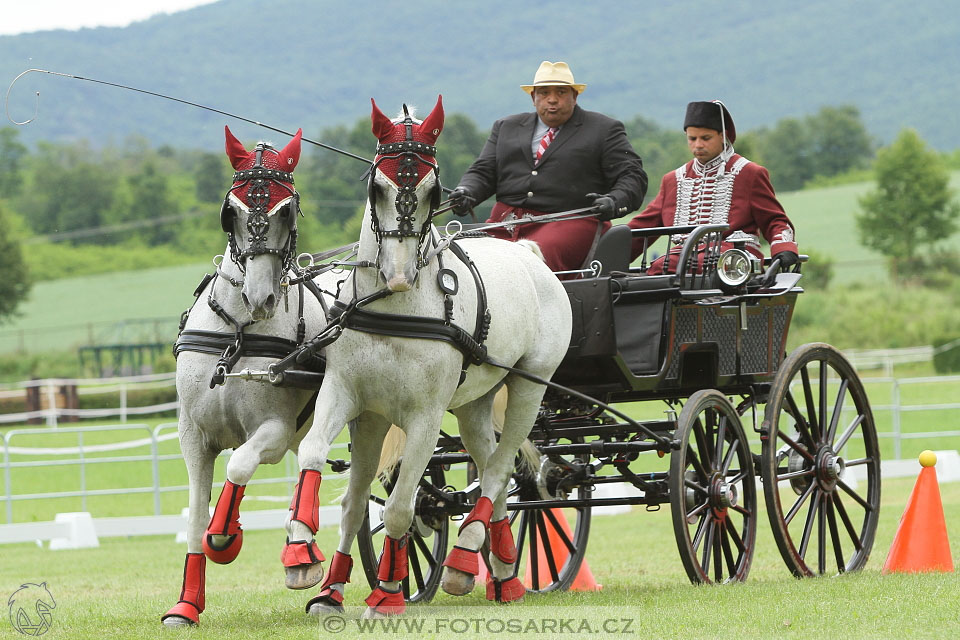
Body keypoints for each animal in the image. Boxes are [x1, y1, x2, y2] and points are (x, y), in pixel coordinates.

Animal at [166, 127, 342, 628]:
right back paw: (302, 547)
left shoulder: (275, 430)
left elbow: (239, 465)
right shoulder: (192, 434)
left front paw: (225, 536)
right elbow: (194, 516)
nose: (260, 297)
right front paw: (186, 604)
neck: (238, 333)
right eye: (233, 211)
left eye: (287, 211)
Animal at [284, 99, 568, 616]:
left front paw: (387, 593)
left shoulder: (424, 418)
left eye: (433, 190)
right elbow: (340, 488)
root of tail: (528, 253)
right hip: (476, 401)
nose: (397, 275)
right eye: (377, 186)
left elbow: (400, 507)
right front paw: (310, 565)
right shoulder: (354, 401)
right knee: (492, 469)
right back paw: (499, 571)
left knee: (502, 468)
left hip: (530, 387)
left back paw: (465, 560)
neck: (396, 311)